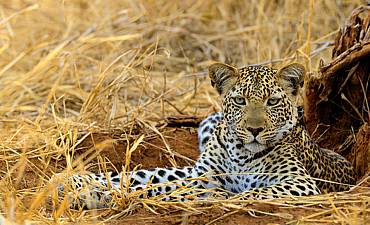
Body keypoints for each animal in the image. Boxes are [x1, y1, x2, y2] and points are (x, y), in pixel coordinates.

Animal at [52, 62, 356, 209]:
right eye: (240, 101)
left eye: (272, 102)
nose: (254, 130)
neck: (240, 153)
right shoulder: (203, 174)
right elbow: (151, 180)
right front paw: (81, 185)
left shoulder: (299, 183)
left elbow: (246, 194)